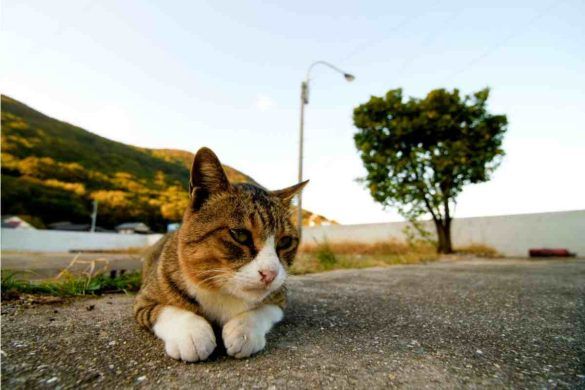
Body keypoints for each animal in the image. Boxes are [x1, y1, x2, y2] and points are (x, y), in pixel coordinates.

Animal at [132, 148, 306, 362]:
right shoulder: (143, 301)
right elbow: (167, 309)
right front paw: (191, 333)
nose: (270, 274)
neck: (220, 290)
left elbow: (264, 310)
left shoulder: (280, 300)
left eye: (285, 242)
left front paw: (243, 330)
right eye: (240, 235)